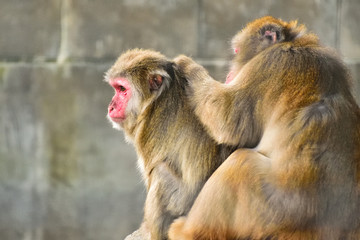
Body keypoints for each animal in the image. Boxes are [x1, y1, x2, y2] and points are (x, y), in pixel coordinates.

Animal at [104, 48, 233, 240]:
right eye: (116, 89)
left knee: (160, 174)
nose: (111, 107)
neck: (155, 100)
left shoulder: (148, 131)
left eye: (122, 89)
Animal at [169, 15, 360, 239]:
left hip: (271, 213)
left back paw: (188, 231)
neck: (293, 43)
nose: (229, 74)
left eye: (236, 51)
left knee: (242, 162)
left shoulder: (269, 64)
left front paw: (187, 66)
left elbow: (229, 119)